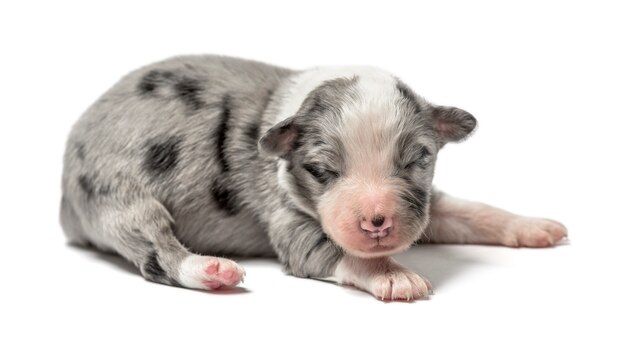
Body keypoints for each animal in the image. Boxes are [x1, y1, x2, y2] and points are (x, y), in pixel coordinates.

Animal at [59, 55, 564, 300]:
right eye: (322, 171)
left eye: (417, 160)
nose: (377, 221)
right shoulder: (286, 217)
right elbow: (332, 251)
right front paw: (395, 276)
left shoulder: (426, 204)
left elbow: (469, 210)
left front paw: (533, 226)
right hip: (117, 194)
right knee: (155, 250)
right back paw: (210, 270)